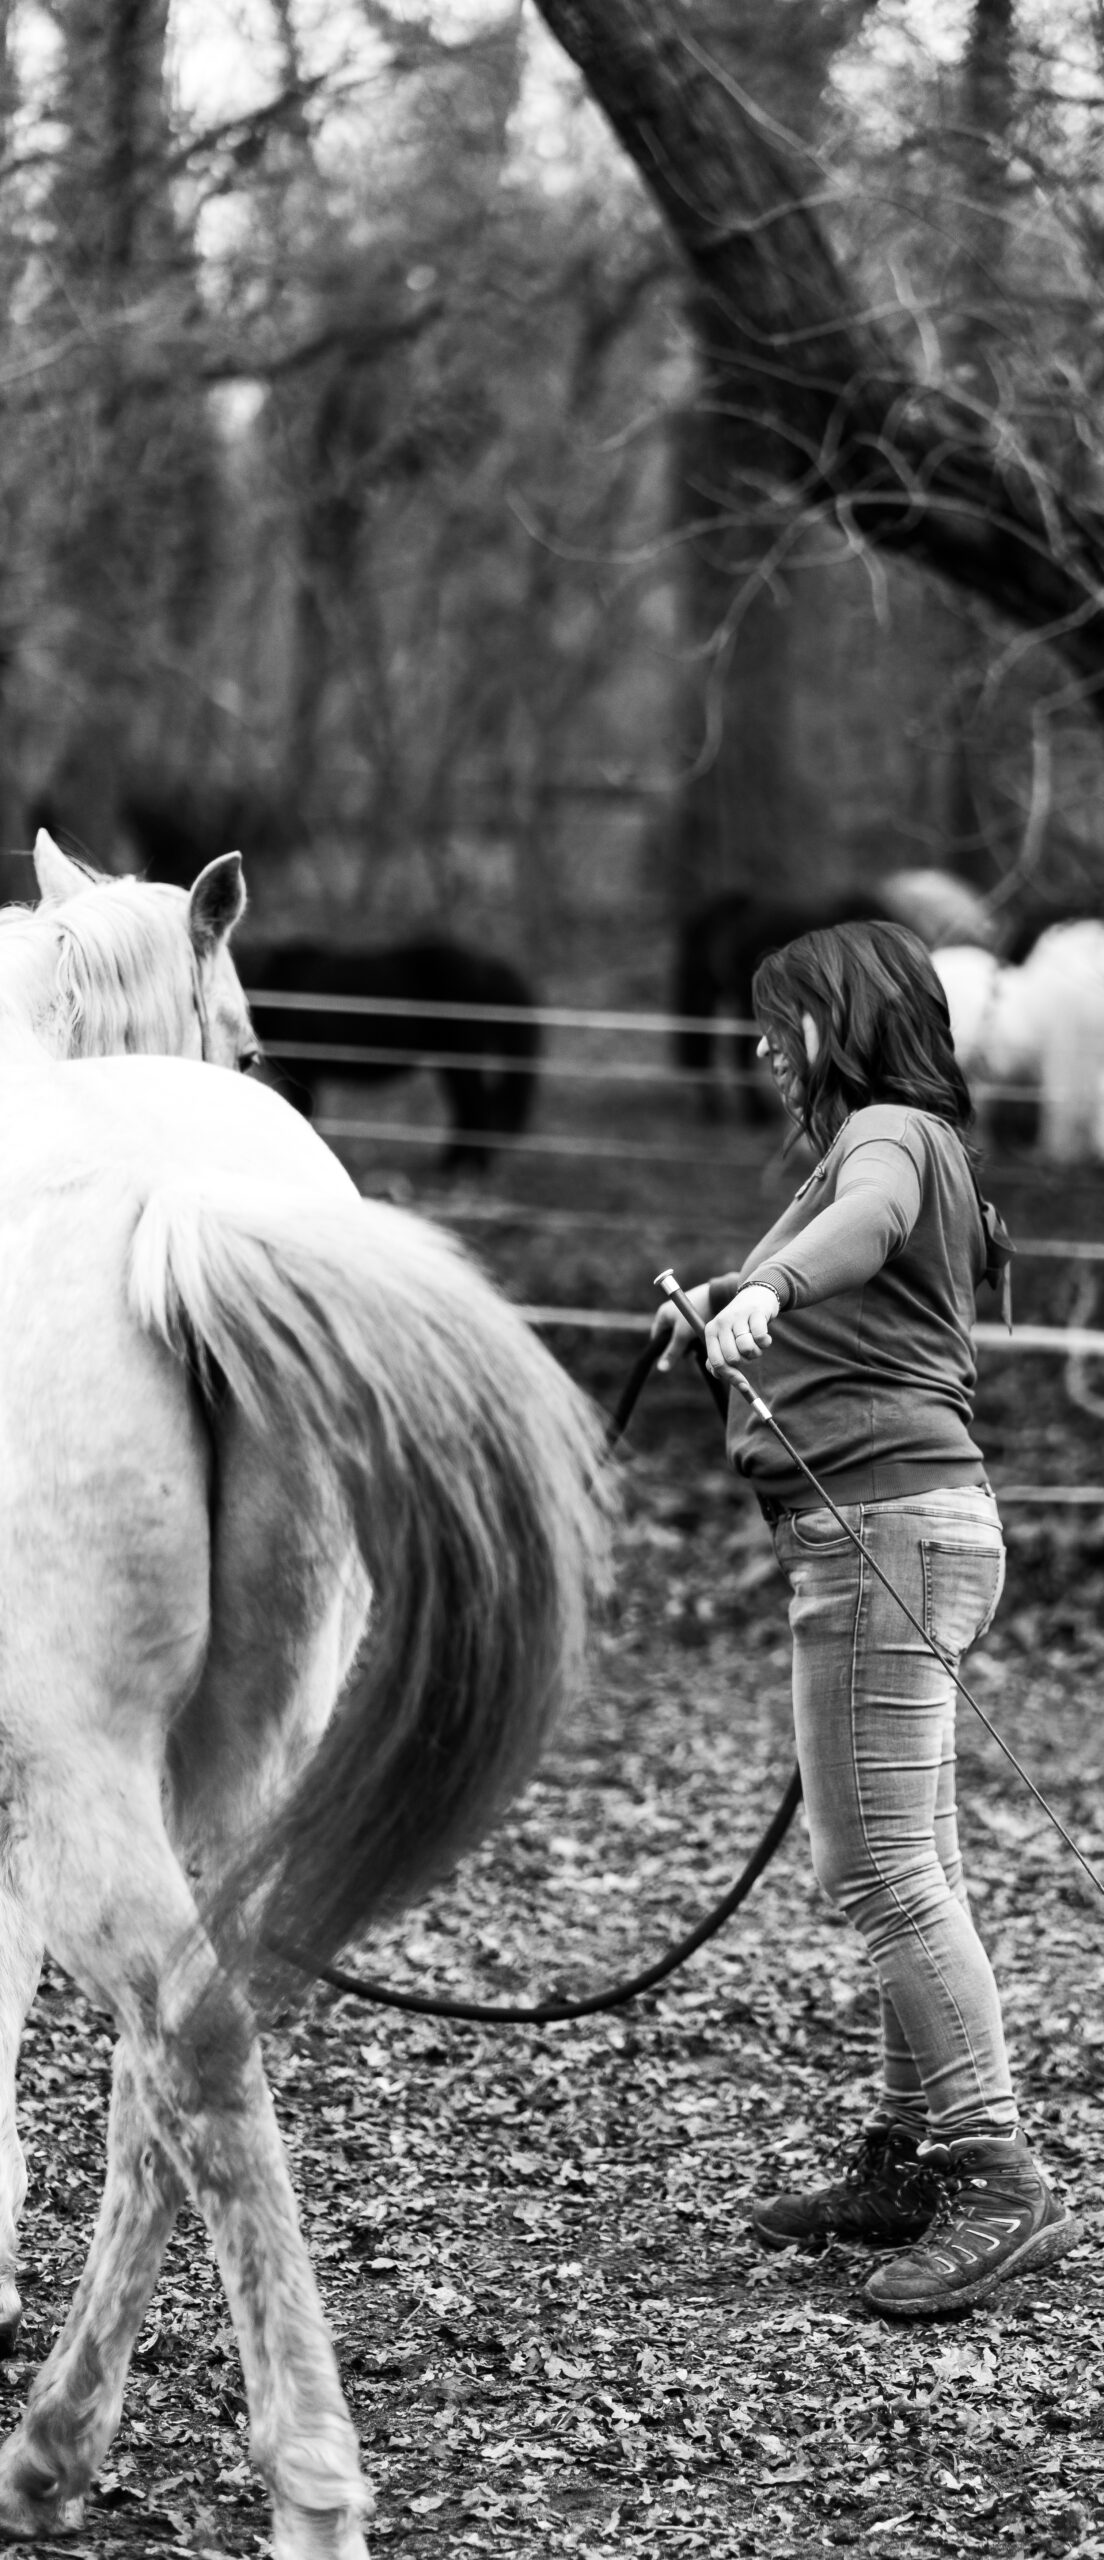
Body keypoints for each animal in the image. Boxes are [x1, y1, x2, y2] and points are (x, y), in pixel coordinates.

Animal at [239, 936, 541, 1174]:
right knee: (467, 1106)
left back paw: (469, 1168)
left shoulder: (305, 1072)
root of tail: (488, 967)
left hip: (461, 1058)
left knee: (475, 1105)